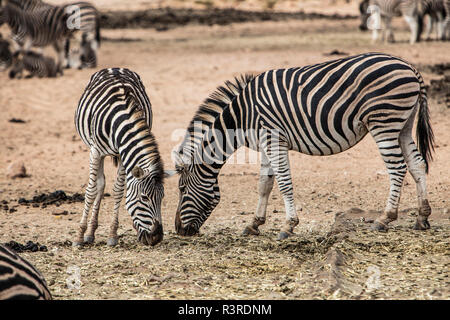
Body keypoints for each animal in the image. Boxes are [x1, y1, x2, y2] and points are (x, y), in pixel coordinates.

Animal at [75, 67, 171, 248]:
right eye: (144, 198)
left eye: (162, 197)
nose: (156, 238)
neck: (121, 119)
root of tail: (115, 68)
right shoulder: (95, 151)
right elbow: (91, 190)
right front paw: (79, 236)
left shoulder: (122, 153)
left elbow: (119, 190)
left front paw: (113, 234)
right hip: (96, 150)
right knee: (99, 184)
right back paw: (88, 233)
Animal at [171, 52, 432, 239]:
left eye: (182, 189)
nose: (179, 231)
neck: (241, 117)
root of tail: (410, 67)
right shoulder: (266, 144)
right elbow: (264, 184)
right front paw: (254, 224)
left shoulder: (274, 138)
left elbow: (284, 183)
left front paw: (288, 226)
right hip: (403, 125)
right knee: (417, 164)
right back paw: (422, 217)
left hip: (384, 121)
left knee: (397, 168)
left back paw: (384, 218)